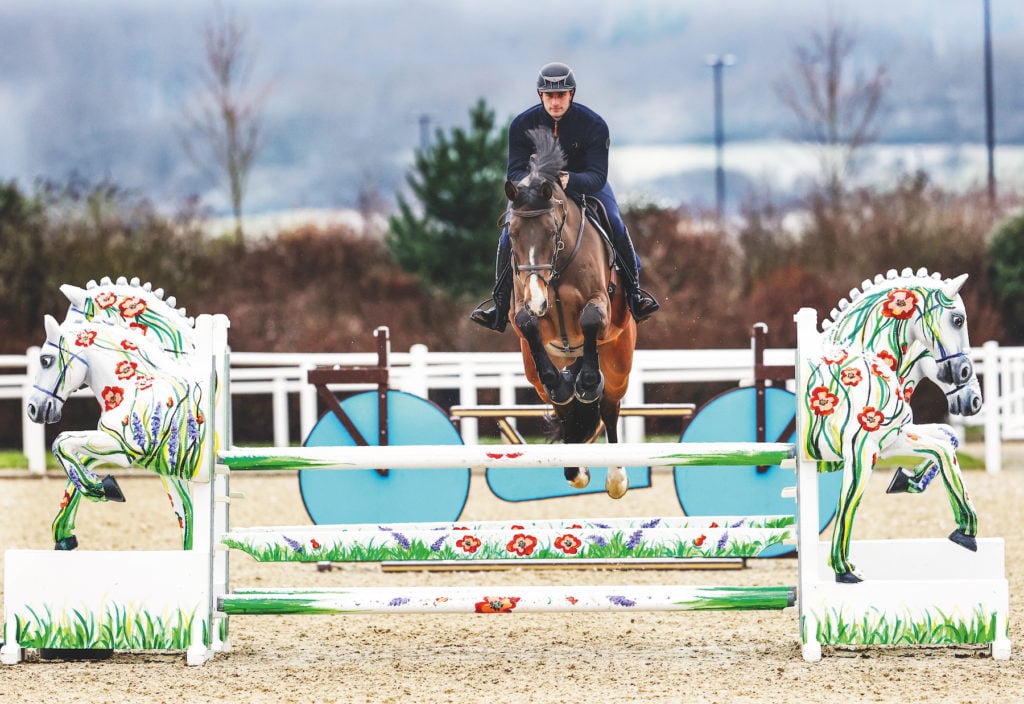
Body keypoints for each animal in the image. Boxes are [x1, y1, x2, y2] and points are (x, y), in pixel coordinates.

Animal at [501, 127, 634, 501]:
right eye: (512, 234)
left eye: (550, 231)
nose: (537, 298)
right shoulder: (522, 309)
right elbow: (526, 322)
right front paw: (563, 383)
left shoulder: (599, 302)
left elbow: (589, 320)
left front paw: (587, 382)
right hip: (532, 371)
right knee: (563, 407)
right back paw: (575, 467)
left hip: (618, 361)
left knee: (609, 407)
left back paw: (615, 477)